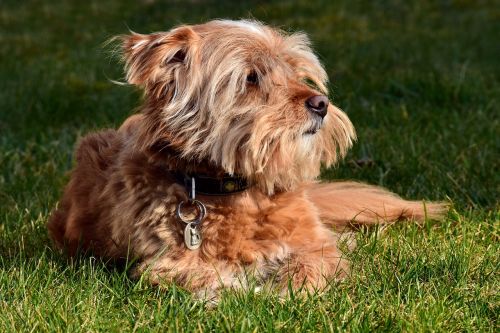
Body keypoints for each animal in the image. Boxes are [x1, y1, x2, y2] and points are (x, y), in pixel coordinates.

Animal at [46, 19, 446, 300]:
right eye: (251, 77)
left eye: (296, 72)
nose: (321, 104)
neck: (239, 189)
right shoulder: (164, 262)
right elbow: (204, 275)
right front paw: (243, 289)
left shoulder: (316, 245)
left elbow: (312, 264)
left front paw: (286, 290)